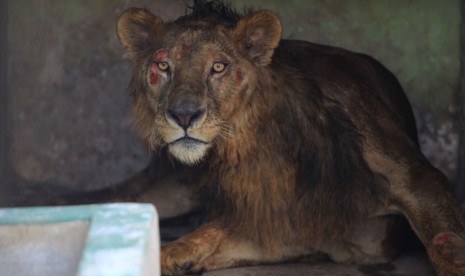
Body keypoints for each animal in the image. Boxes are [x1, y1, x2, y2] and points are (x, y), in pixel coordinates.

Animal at [45, 1, 464, 274]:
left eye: (218, 67)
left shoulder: (406, 197)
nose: (184, 115)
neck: (257, 146)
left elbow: (448, 249)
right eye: (163, 66)